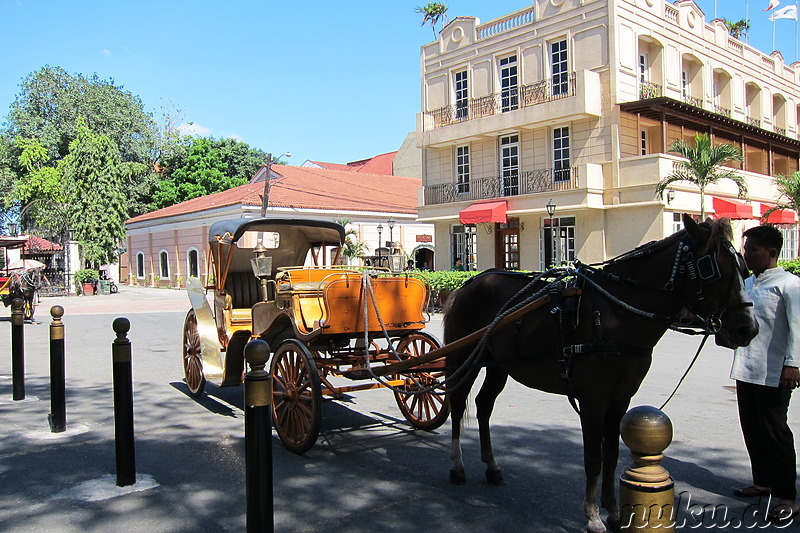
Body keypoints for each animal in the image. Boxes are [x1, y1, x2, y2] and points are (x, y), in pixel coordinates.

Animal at [440, 215, 760, 532]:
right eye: (709, 268)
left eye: (743, 266)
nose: (748, 328)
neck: (615, 314)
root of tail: (471, 282)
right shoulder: (593, 398)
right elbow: (593, 457)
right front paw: (593, 516)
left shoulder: (621, 398)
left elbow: (612, 454)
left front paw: (615, 512)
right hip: (464, 358)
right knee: (457, 403)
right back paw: (456, 466)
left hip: (498, 364)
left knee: (483, 405)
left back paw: (492, 467)